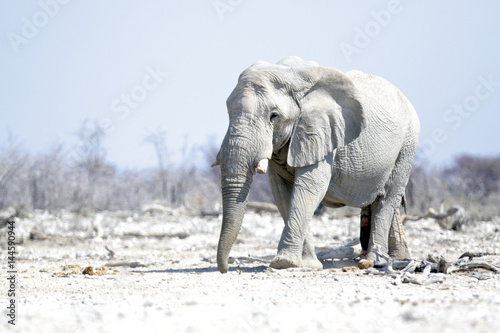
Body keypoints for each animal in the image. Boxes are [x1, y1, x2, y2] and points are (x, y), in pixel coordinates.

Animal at [211, 56, 418, 272]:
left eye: (274, 116)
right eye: (228, 111)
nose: (225, 269)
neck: (290, 75)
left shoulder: (322, 132)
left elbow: (310, 187)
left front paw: (284, 263)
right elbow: (281, 193)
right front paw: (307, 264)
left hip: (407, 146)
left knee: (386, 199)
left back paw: (373, 262)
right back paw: (389, 259)